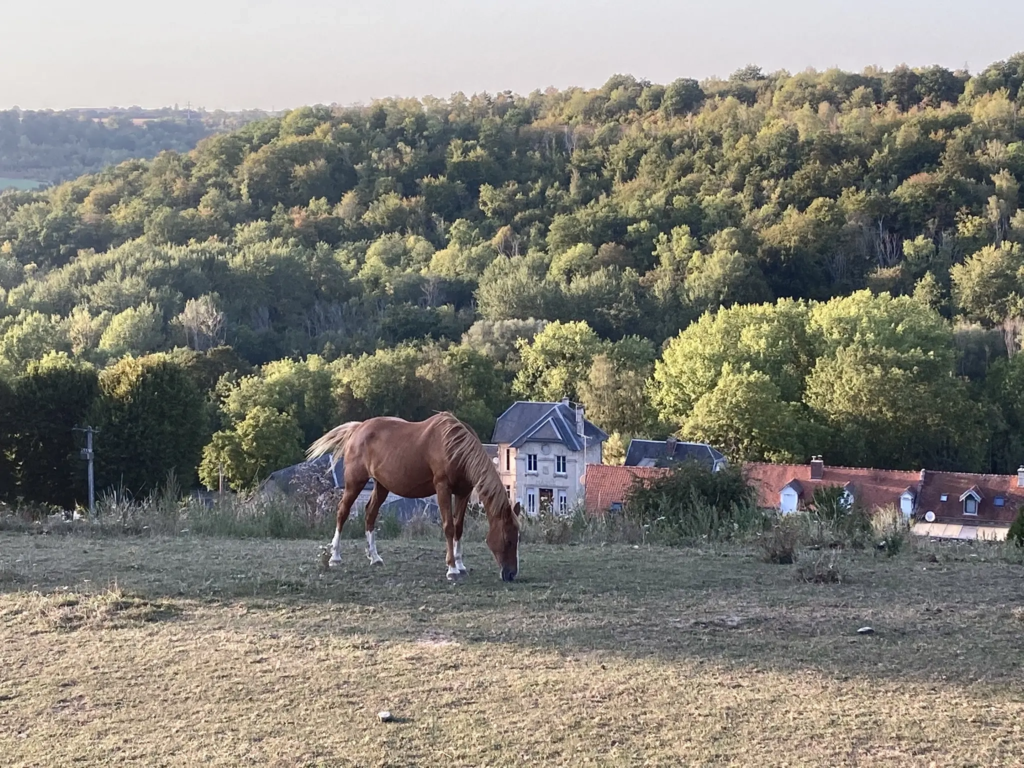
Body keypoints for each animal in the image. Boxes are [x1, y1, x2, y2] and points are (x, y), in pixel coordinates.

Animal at [306, 412, 522, 582]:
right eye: (508, 539)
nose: (511, 574)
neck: (454, 447)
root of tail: (358, 428)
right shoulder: (442, 488)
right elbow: (449, 527)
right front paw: (452, 569)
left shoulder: (463, 492)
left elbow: (459, 527)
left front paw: (460, 565)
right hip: (355, 482)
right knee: (342, 512)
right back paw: (335, 557)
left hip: (382, 486)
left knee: (370, 514)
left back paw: (375, 558)